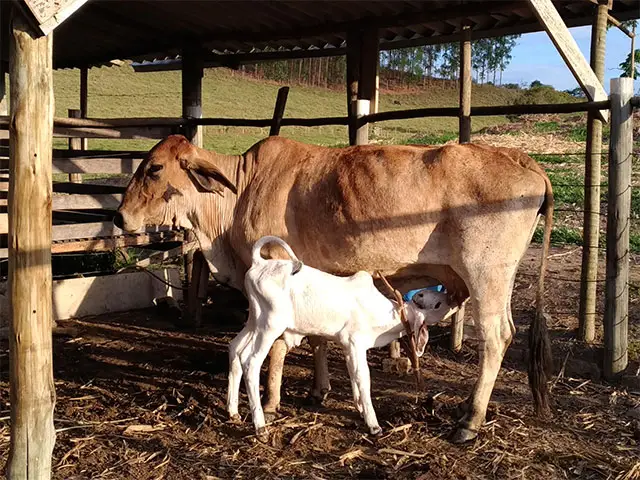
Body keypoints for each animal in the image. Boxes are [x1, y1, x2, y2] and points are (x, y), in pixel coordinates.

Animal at [228, 236, 452, 438]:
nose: (450, 297)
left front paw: (361, 411)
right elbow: (363, 378)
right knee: (251, 362)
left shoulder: (348, 347)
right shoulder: (355, 344)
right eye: (437, 304)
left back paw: (233, 412)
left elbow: (353, 377)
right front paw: (374, 425)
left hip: (254, 322)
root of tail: (260, 263)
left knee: (235, 349)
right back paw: (260, 427)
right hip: (270, 325)